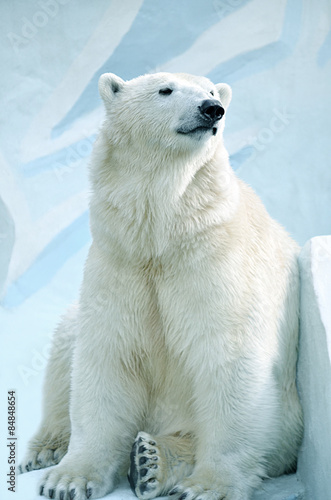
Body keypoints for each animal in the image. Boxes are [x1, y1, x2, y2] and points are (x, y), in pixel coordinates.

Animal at [18, 71, 304, 500]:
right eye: (165, 90)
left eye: (212, 90)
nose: (211, 108)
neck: (164, 234)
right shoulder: (121, 262)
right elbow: (107, 356)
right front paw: (68, 479)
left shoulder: (216, 265)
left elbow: (230, 360)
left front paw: (208, 486)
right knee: (66, 343)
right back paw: (51, 448)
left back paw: (151, 459)